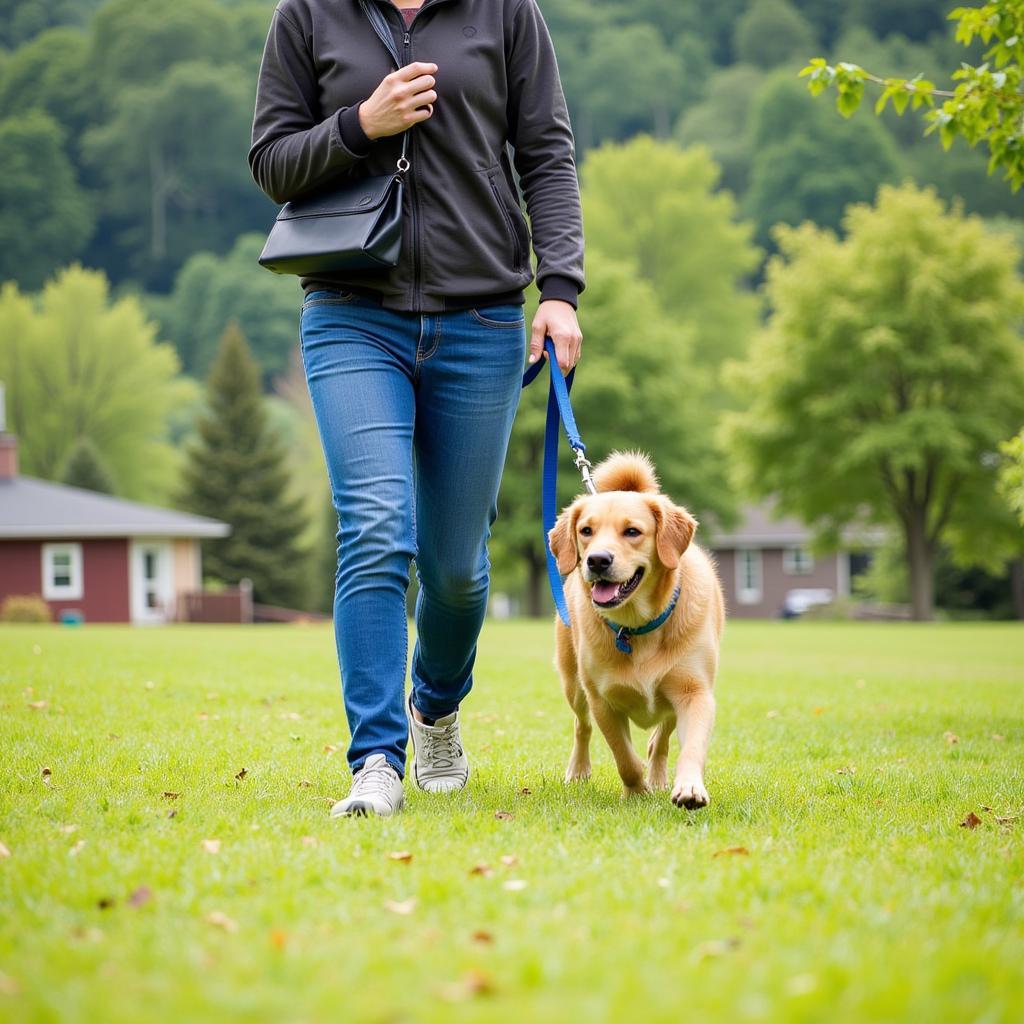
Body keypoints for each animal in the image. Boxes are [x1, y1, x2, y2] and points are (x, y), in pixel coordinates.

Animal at [548, 452, 724, 802]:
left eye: (632, 531)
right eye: (586, 530)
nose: (597, 560)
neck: (637, 626)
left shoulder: (694, 692)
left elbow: (691, 747)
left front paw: (689, 787)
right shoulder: (602, 700)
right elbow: (624, 757)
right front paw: (636, 792)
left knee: (660, 741)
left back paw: (658, 778)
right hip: (573, 683)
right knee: (581, 726)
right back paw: (579, 770)